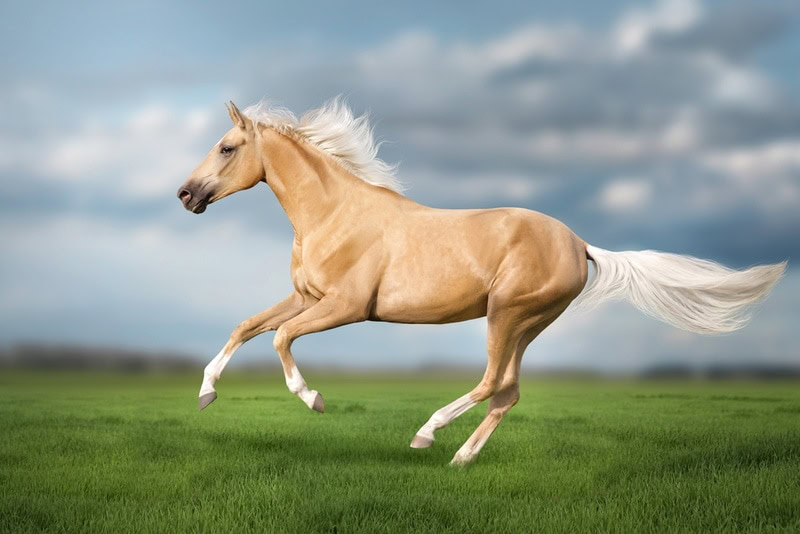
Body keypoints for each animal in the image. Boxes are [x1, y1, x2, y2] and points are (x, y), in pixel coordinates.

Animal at [177, 98, 786, 465]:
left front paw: (314, 401)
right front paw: (205, 395)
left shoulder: (346, 306)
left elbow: (280, 339)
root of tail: (580, 243)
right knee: (508, 390)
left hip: (507, 314)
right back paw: (460, 458)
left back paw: (427, 433)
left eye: (227, 147)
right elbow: (247, 326)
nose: (186, 195)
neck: (333, 213)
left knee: (493, 381)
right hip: (527, 323)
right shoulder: (308, 297)